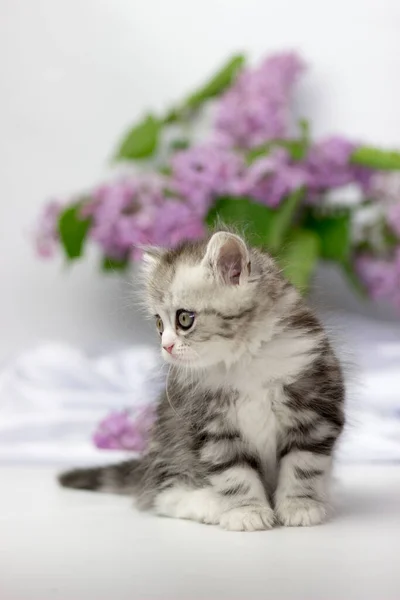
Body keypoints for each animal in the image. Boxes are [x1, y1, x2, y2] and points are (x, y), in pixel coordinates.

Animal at [58, 230, 344, 528]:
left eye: (184, 319)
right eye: (159, 325)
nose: (166, 347)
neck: (243, 360)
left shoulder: (314, 410)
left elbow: (303, 466)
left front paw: (300, 506)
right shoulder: (210, 427)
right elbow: (234, 474)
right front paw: (247, 512)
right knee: (164, 496)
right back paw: (211, 504)